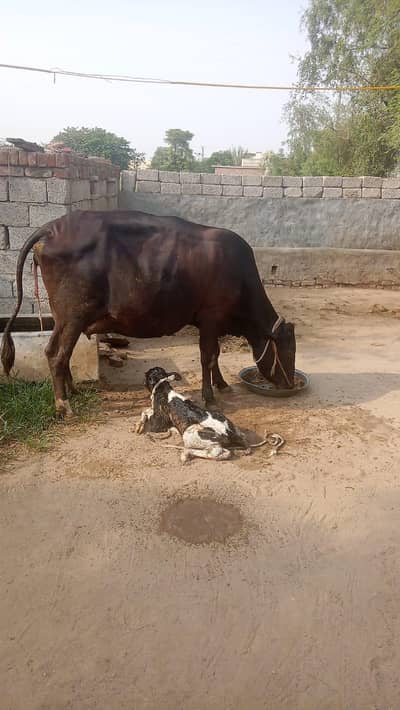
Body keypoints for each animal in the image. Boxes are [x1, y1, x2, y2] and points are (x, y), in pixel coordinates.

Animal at [1, 210, 296, 416]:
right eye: (286, 350)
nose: (291, 384)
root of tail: (52, 228)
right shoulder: (211, 318)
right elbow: (208, 357)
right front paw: (210, 395)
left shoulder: (211, 323)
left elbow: (215, 356)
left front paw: (222, 384)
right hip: (73, 315)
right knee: (56, 354)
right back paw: (64, 405)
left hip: (64, 319)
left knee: (61, 353)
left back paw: (72, 392)